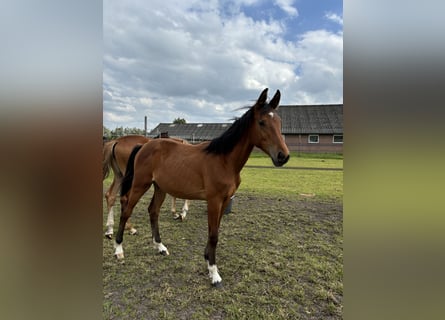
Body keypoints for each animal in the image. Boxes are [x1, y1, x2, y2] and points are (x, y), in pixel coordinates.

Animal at [114, 89, 288, 288]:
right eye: (262, 122)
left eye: (279, 122)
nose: (283, 156)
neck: (224, 160)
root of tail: (144, 145)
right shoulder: (214, 201)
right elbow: (213, 235)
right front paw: (214, 273)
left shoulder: (224, 201)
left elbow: (216, 231)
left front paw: (207, 260)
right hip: (140, 185)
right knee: (126, 210)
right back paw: (118, 250)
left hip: (160, 188)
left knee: (153, 211)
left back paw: (160, 247)